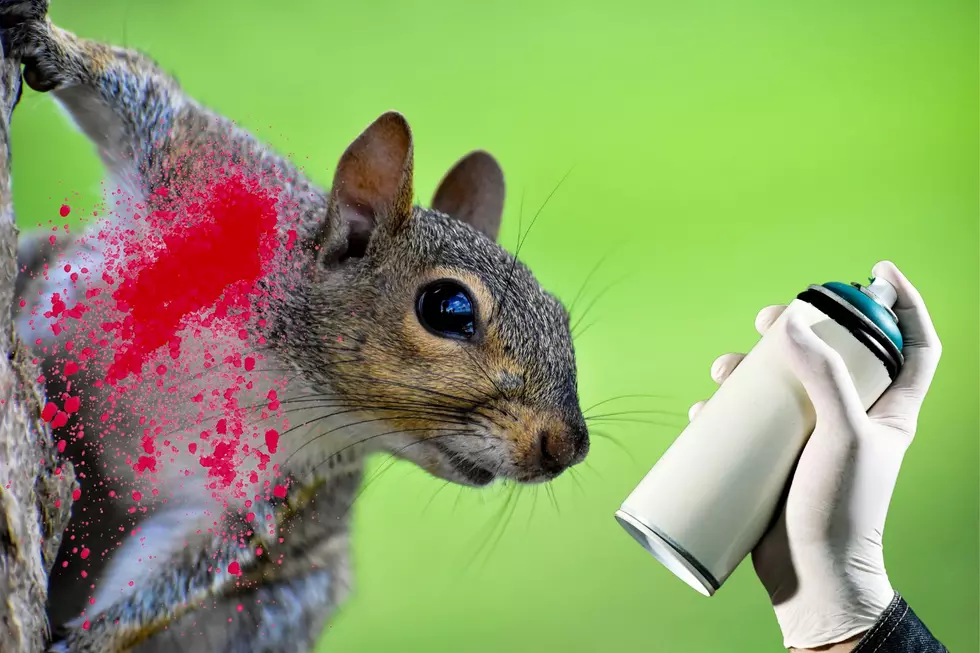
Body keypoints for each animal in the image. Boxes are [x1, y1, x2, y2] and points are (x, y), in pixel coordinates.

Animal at [2, 1, 590, 652]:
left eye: (561, 317)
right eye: (449, 308)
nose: (568, 447)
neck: (279, 365)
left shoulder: (263, 494)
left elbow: (186, 565)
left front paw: (89, 639)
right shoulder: (206, 163)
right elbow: (134, 90)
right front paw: (48, 42)